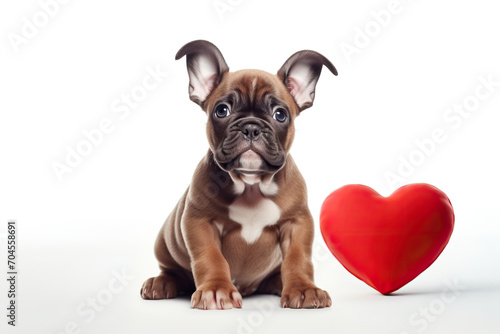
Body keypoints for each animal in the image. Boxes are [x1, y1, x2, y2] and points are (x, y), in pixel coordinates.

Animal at [139, 40, 338, 310]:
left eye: (280, 114)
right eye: (222, 110)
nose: (251, 127)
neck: (251, 185)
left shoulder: (297, 223)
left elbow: (298, 258)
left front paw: (303, 289)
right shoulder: (199, 221)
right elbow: (210, 257)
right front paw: (216, 290)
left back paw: (278, 283)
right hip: (165, 243)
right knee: (171, 271)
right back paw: (160, 283)